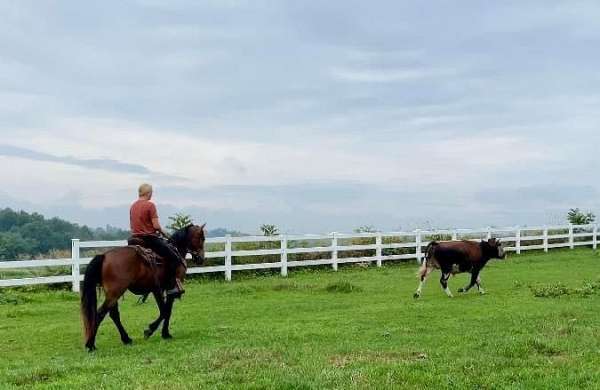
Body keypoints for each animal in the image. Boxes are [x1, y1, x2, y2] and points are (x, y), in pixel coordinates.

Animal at [80, 224, 206, 352]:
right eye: (202, 238)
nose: (201, 258)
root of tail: (104, 256)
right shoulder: (169, 289)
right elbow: (165, 311)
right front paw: (151, 330)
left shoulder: (157, 289)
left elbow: (166, 310)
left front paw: (164, 333)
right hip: (115, 293)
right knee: (100, 314)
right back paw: (90, 345)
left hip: (112, 294)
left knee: (113, 314)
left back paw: (126, 339)